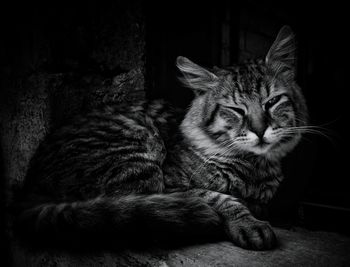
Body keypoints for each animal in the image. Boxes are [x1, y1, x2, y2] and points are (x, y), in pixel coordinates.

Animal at [15, 25, 308, 251]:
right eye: (236, 110)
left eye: (272, 102)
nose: (260, 130)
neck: (254, 168)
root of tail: (30, 187)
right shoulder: (173, 186)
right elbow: (219, 197)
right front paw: (250, 222)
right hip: (140, 155)